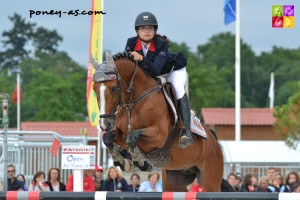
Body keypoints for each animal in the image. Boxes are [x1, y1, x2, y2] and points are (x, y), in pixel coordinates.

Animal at [91, 52, 230, 192]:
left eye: (114, 88)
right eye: (94, 89)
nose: (104, 124)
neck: (134, 101)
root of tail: (214, 140)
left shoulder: (159, 136)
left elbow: (132, 137)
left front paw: (140, 161)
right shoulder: (121, 134)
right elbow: (108, 138)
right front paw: (122, 162)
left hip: (210, 181)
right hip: (174, 182)